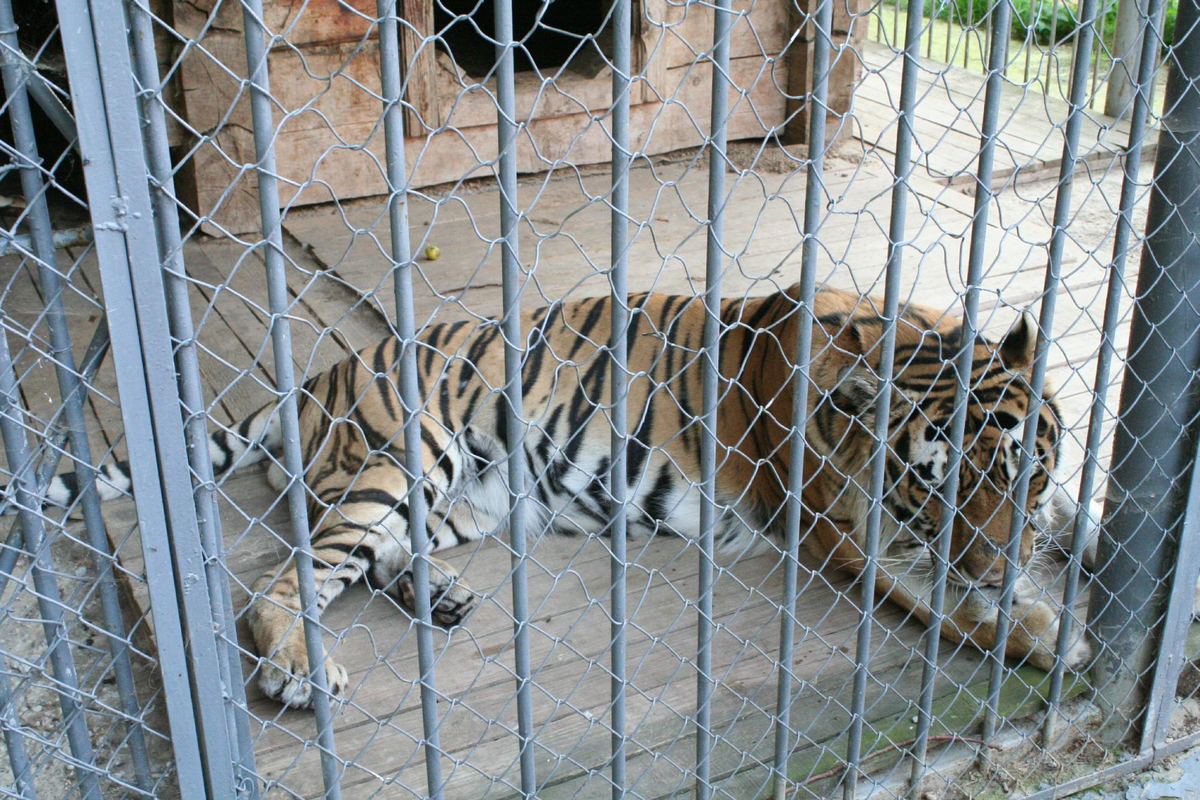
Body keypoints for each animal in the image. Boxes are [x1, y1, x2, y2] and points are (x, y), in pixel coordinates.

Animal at [28, 283, 1099, 705]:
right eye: (936, 491)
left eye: (1023, 475)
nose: (999, 563)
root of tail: (315, 380)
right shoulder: (840, 537)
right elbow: (938, 602)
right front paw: (1044, 633)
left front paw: (1062, 556)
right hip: (402, 456)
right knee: (285, 579)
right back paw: (300, 670)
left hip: (462, 498)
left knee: (369, 562)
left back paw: (437, 597)